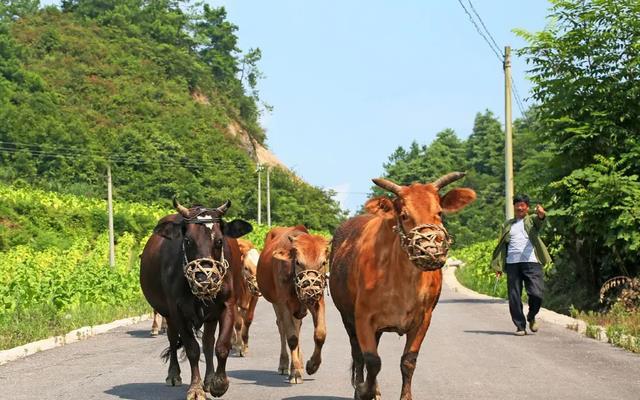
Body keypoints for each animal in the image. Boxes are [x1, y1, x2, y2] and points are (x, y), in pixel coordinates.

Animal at [141, 198, 251, 398]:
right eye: (187, 241)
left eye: (219, 241)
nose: (204, 277)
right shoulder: (177, 311)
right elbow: (192, 348)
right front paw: (195, 388)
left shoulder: (228, 305)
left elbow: (221, 346)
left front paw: (219, 383)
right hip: (168, 314)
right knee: (172, 338)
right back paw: (173, 375)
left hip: (210, 315)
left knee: (208, 342)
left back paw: (209, 379)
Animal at [255, 227, 328, 382]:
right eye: (299, 262)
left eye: (323, 263)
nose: (311, 289)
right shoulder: (284, 303)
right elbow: (292, 338)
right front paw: (295, 373)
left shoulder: (317, 300)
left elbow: (320, 333)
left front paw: (312, 366)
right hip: (275, 303)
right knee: (282, 327)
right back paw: (284, 365)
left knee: (297, 325)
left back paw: (299, 364)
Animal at [330, 173, 476, 400]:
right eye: (405, 215)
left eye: (439, 212)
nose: (429, 251)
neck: (403, 280)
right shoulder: (362, 317)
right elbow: (372, 360)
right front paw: (363, 390)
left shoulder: (424, 318)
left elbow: (408, 361)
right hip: (347, 317)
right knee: (358, 355)